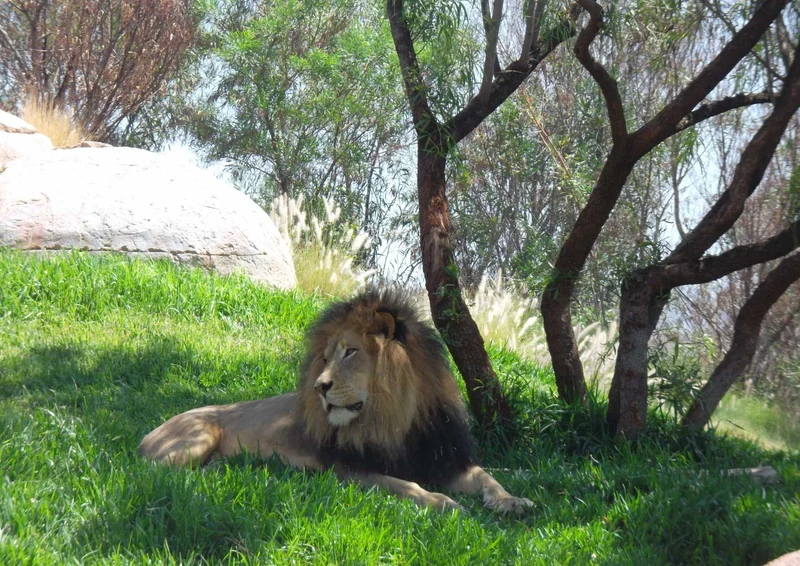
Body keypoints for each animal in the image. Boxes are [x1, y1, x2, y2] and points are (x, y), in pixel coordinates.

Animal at [139, 289, 533, 513]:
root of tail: (148, 434)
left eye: (350, 353)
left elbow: (488, 478)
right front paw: (443, 503)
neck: (395, 417)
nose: (319, 387)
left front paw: (513, 501)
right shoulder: (348, 469)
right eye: (325, 358)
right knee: (152, 471)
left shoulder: (446, 458)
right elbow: (405, 485)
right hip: (197, 435)